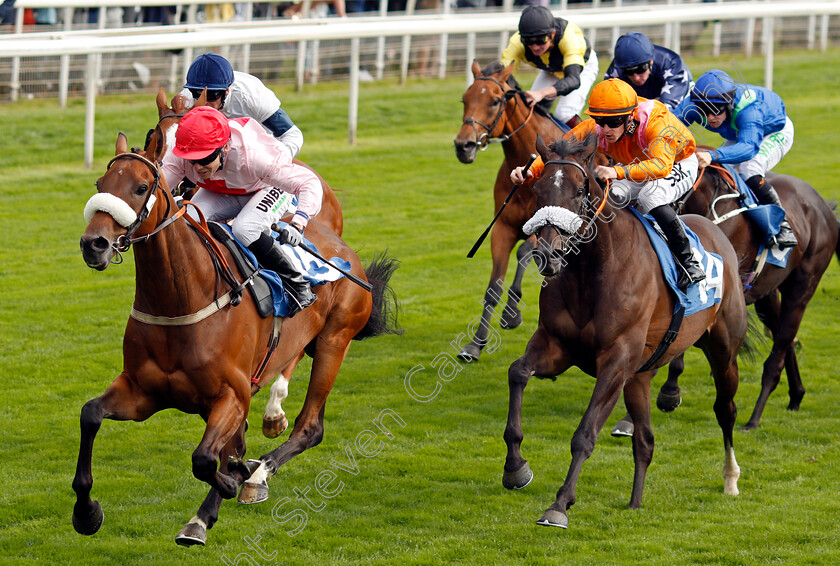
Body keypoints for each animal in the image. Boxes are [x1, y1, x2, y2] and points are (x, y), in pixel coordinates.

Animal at [72, 135, 400, 548]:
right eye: (100, 184)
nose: (93, 244)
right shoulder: (142, 392)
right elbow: (90, 414)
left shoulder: (231, 394)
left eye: (141, 188)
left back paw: (256, 474)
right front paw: (86, 512)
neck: (181, 299)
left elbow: (206, 459)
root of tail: (345, 251)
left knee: (309, 427)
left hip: (334, 342)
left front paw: (232, 483)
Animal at [456, 62, 568, 362]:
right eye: (465, 99)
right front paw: (476, 343)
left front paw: (511, 313)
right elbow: (493, 286)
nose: (463, 146)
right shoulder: (502, 228)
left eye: (495, 101)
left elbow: (524, 251)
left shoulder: (542, 228)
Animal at [502, 134, 744, 532]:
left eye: (579, 190)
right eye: (537, 190)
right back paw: (635, 502)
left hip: (723, 351)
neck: (592, 272)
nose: (548, 255)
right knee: (645, 440)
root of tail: (715, 230)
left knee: (725, 409)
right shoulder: (556, 345)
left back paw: (730, 478)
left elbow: (585, 434)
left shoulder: (616, 361)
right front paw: (516, 468)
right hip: (640, 376)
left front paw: (559, 504)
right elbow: (518, 372)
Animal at [612, 162, 840, 438]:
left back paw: (754, 417)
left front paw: (666, 395)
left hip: (802, 287)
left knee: (780, 347)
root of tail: (823, 205)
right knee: (783, 340)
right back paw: (796, 395)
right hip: (767, 295)